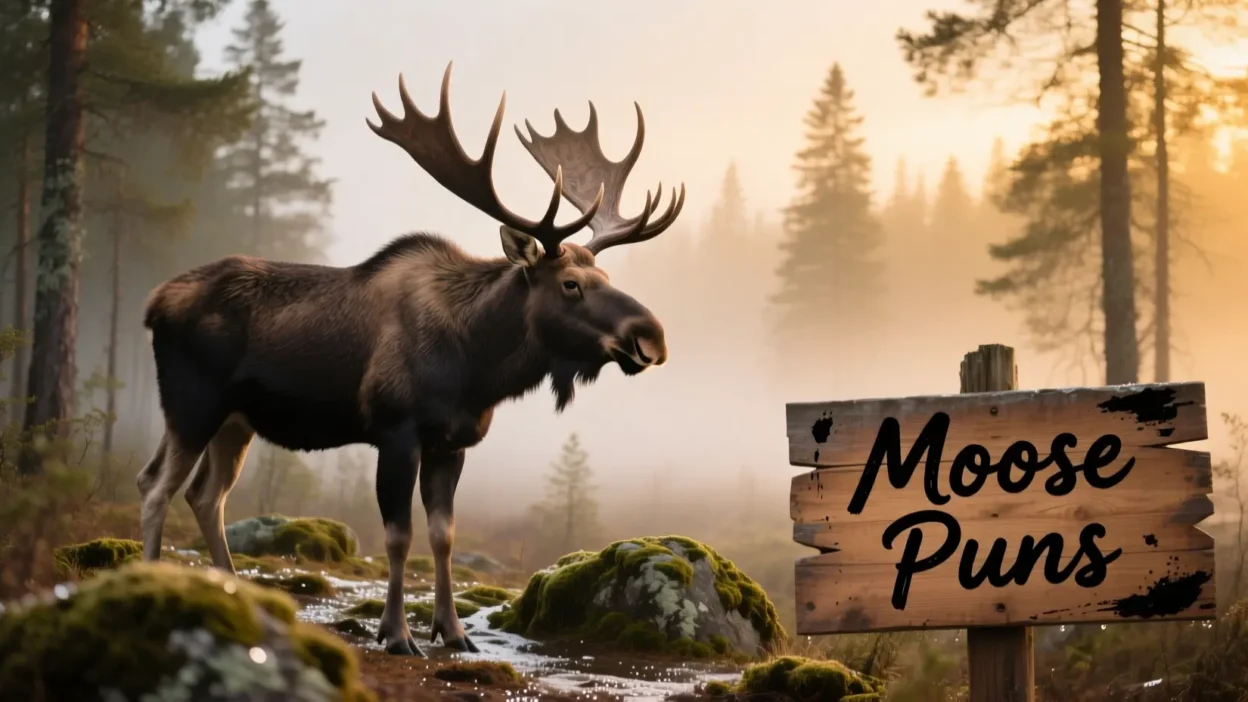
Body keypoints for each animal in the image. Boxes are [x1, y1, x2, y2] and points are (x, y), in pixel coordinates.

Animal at [135, 62, 685, 657]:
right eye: (570, 285)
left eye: (605, 276)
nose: (651, 337)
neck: (476, 366)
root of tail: (154, 302)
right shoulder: (395, 431)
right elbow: (399, 536)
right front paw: (397, 634)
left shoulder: (453, 442)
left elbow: (444, 536)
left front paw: (453, 630)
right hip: (193, 404)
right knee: (157, 488)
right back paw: (149, 583)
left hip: (235, 420)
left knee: (202, 495)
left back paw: (232, 592)